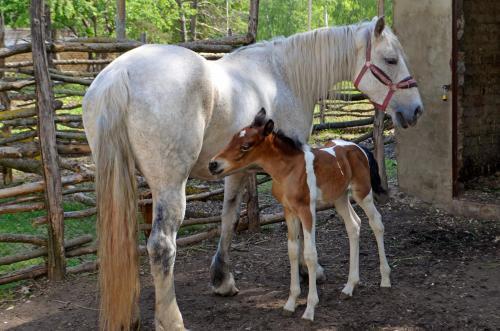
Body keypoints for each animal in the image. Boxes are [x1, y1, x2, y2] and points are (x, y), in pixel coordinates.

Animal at [209, 109, 392, 322]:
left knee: (376, 222)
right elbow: (293, 251)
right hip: (339, 197)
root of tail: (358, 147)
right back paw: (349, 286)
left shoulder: (306, 210)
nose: (213, 164)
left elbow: (310, 254)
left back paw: (385, 278)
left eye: (246, 145)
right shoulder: (289, 210)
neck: (289, 170)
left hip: (362, 192)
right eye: (231, 139)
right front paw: (290, 303)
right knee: (353, 225)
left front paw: (310, 308)